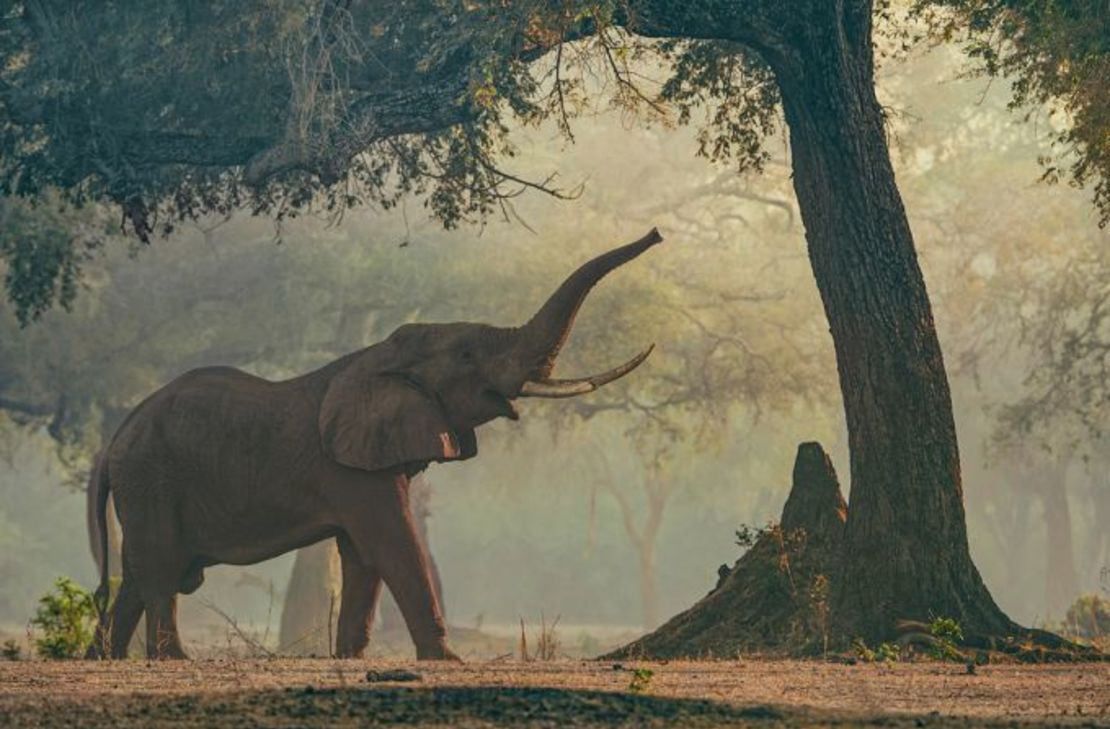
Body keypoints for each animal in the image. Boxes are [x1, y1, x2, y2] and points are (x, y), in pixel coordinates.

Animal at [88, 227, 657, 661]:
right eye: (468, 356)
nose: (655, 235)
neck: (381, 354)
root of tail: (113, 443)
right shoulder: (351, 470)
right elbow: (391, 541)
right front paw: (446, 660)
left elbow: (361, 554)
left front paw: (348, 657)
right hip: (151, 478)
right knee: (159, 567)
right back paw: (173, 659)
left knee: (135, 573)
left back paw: (105, 657)